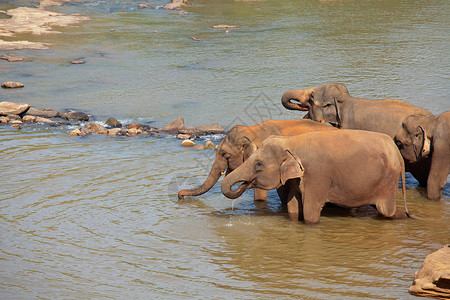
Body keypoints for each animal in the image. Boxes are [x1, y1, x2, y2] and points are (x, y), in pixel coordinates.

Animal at [221, 130, 412, 224]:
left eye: (259, 164)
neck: (292, 141)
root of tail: (397, 151)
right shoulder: (297, 178)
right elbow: (293, 207)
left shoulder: (317, 175)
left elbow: (310, 212)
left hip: (389, 179)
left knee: (386, 210)